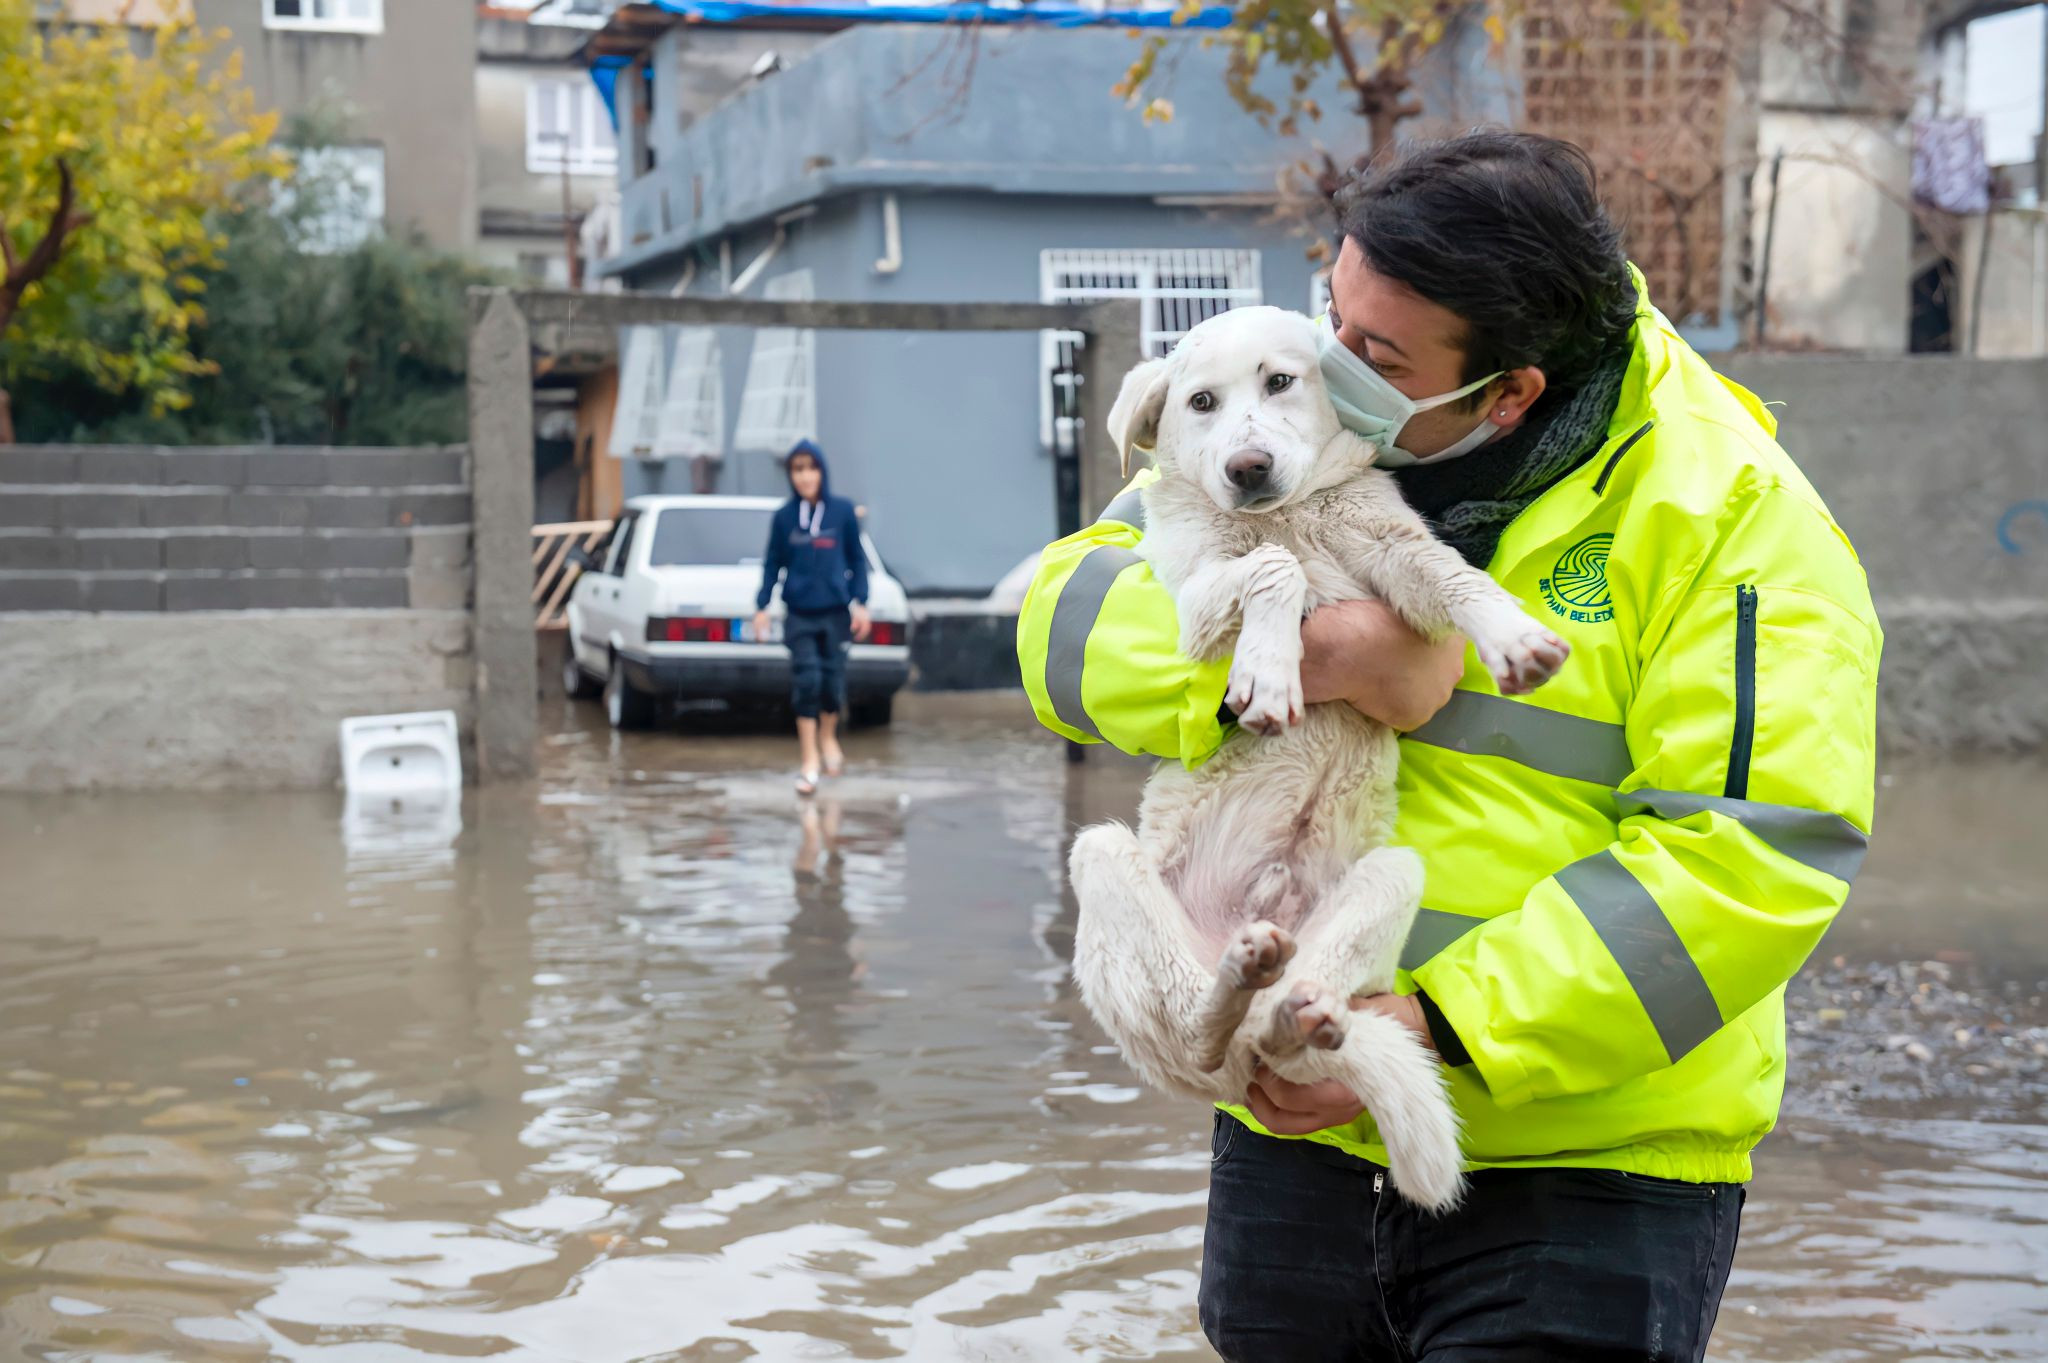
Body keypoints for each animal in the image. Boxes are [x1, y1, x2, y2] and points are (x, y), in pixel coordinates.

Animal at [1073, 302, 1564, 1203]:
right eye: (1199, 401)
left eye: (1280, 381)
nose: (1248, 467)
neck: (1285, 511)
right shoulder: (1191, 602)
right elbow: (1274, 570)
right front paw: (1267, 670)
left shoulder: (1396, 559)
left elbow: (1453, 578)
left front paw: (1513, 636)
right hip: (1105, 864)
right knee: (1195, 1024)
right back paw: (1232, 991)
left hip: (1388, 876)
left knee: (1286, 1023)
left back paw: (1290, 1008)